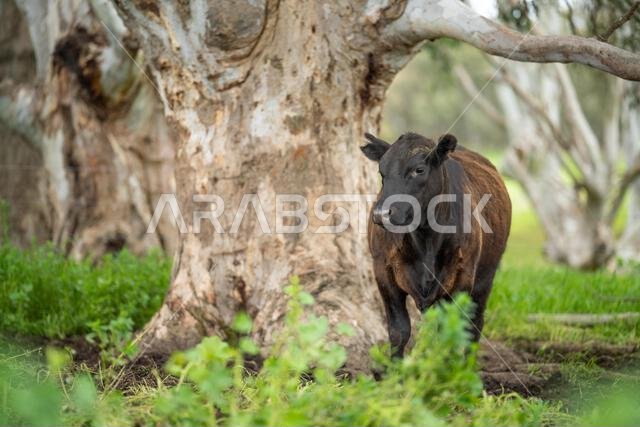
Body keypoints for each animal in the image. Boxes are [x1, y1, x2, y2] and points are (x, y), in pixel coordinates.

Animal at [361, 132, 511, 357]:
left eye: (419, 170)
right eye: (382, 171)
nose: (381, 214)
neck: (425, 241)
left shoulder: (462, 277)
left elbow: (450, 332)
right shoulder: (383, 272)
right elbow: (399, 331)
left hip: (485, 278)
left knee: (474, 326)